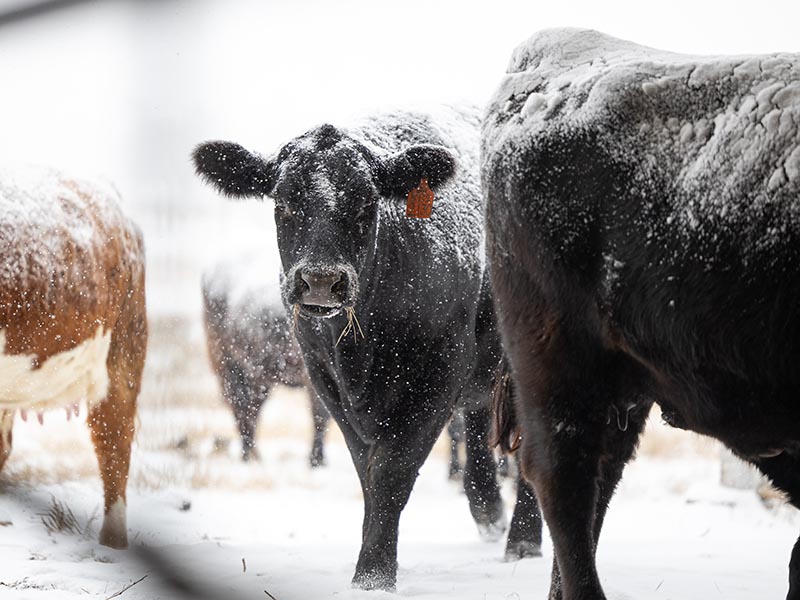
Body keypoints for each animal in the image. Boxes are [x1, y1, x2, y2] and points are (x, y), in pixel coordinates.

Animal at [202, 259, 330, 465]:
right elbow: (321, 417)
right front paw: (317, 461)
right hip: (228, 369)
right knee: (243, 413)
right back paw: (249, 458)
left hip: (258, 379)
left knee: (250, 412)